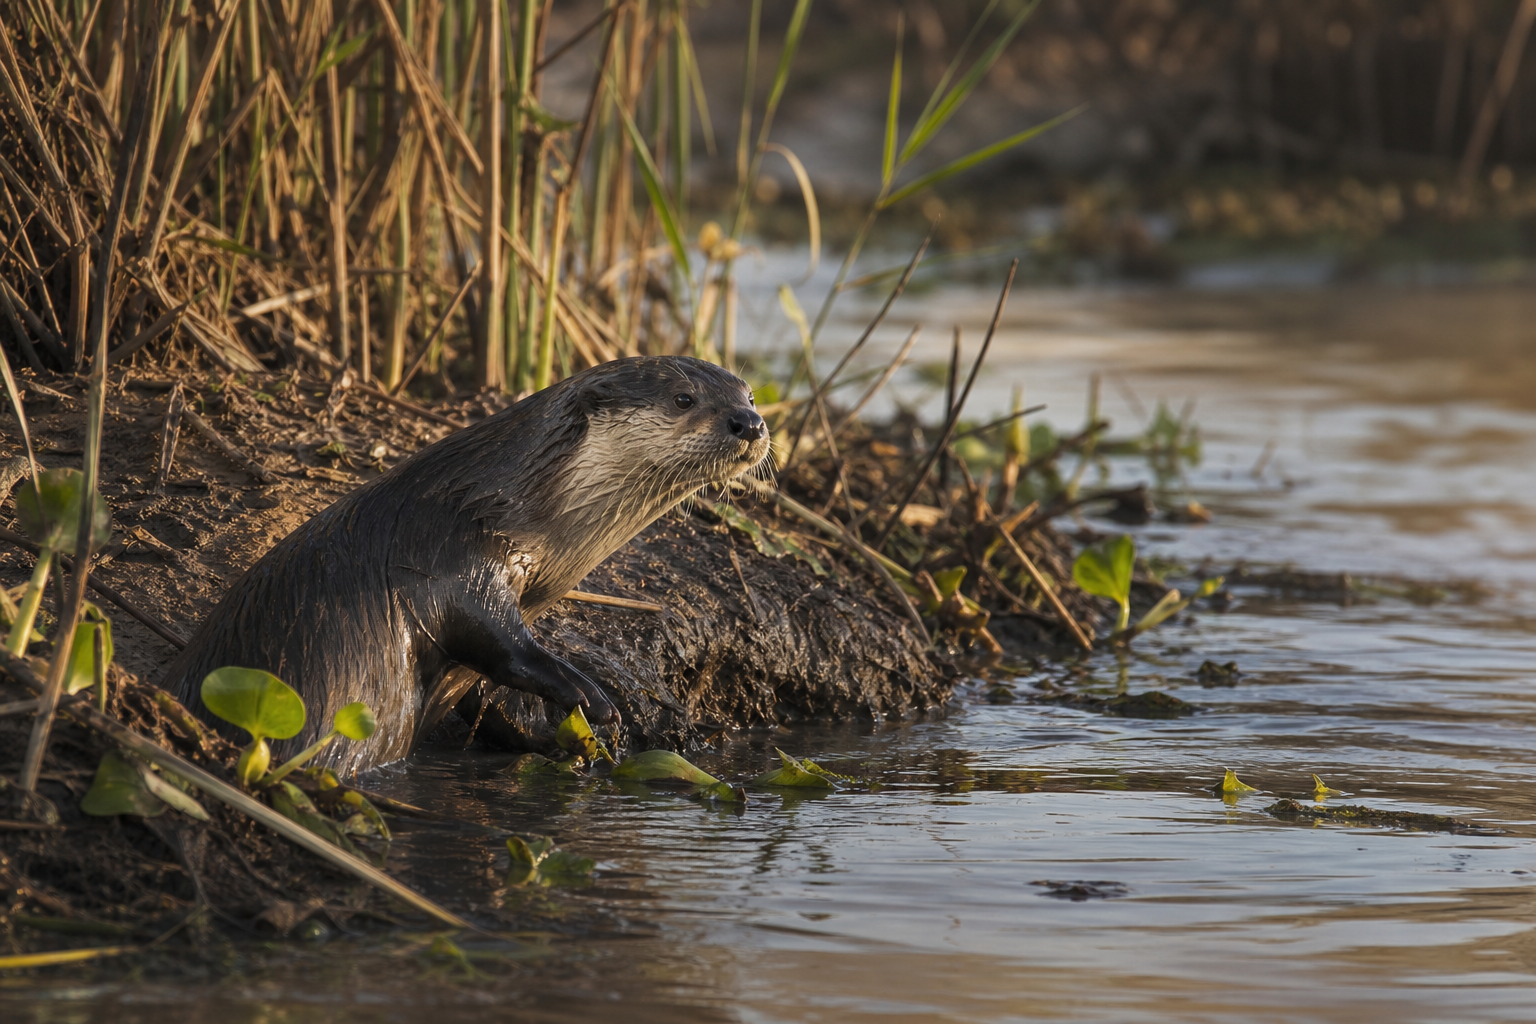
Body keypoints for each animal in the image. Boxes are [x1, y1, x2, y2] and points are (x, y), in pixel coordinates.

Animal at [163, 356, 770, 773]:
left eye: (750, 395)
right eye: (684, 398)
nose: (749, 423)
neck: (504, 504)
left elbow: (482, 685)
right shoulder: (450, 565)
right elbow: (504, 647)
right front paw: (592, 700)